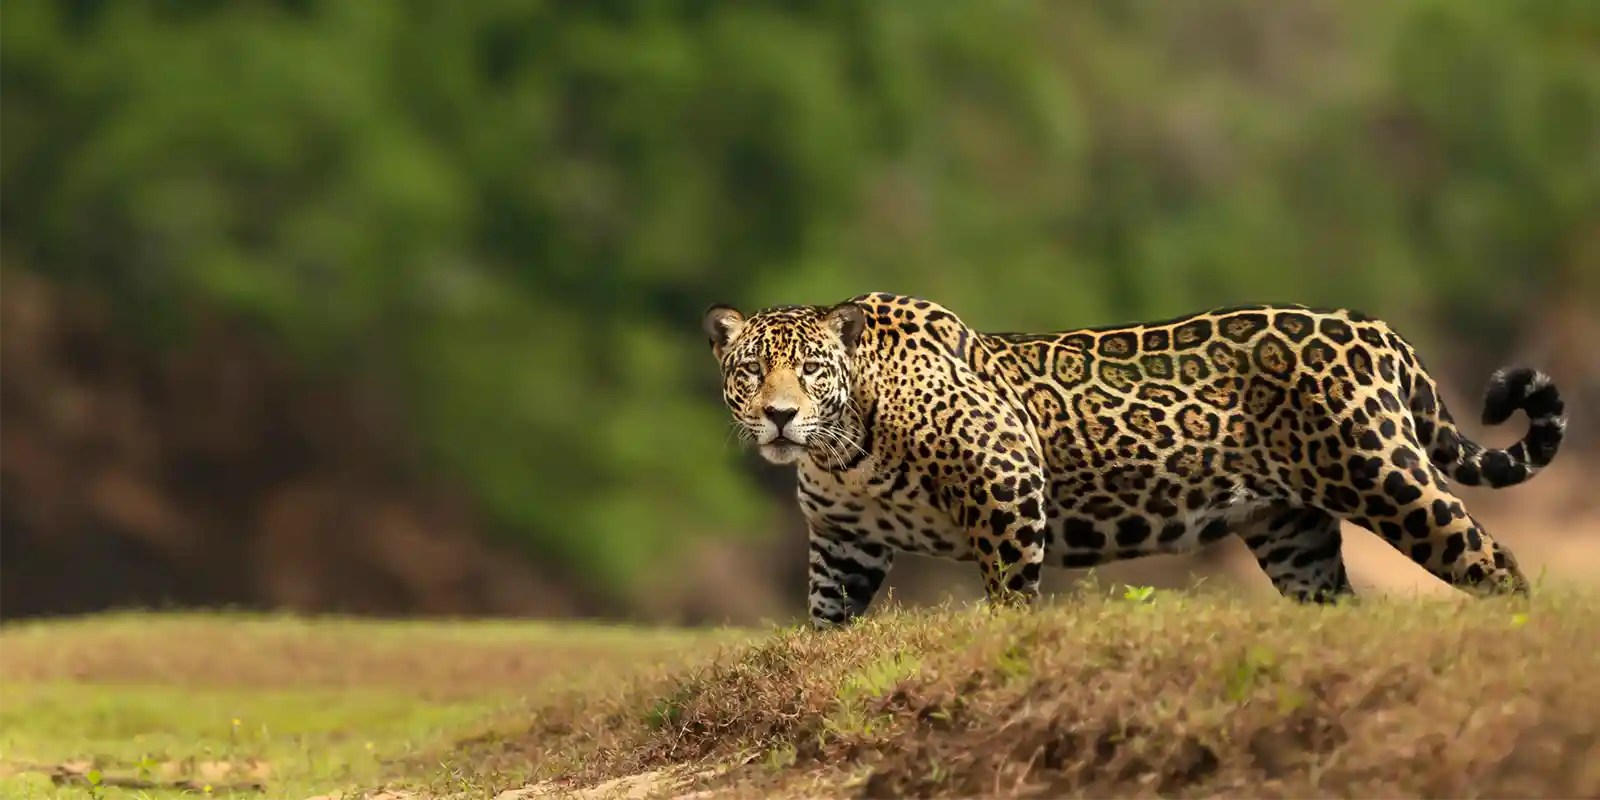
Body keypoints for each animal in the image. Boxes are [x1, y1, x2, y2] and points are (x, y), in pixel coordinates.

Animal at [701, 292, 1567, 629]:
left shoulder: (1005, 481)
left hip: (1382, 475)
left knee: (1489, 558)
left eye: (812, 369)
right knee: (1335, 598)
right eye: (751, 371)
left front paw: (1010, 645)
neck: (844, 445)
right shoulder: (844, 543)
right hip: (1293, 530)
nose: (780, 416)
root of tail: (1377, 329)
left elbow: (1008, 594)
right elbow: (825, 622)